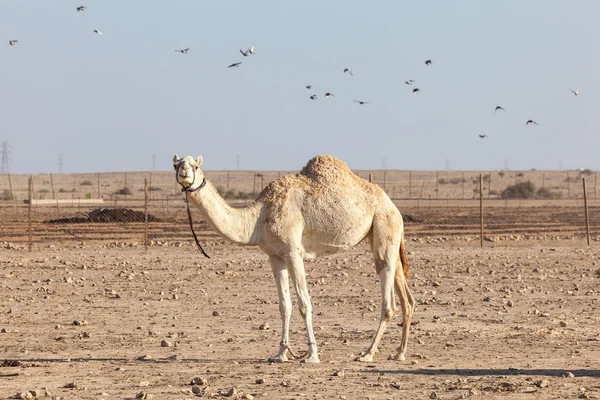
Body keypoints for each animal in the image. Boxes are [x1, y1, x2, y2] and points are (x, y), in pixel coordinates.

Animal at [173, 154, 414, 362]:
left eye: (196, 166)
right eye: (176, 164)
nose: (184, 171)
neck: (259, 217)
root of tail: (394, 207)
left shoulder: (292, 252)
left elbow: (304, 304)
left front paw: (312, 355)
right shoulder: (275, 257)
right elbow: (284, 305)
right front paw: (281, 353)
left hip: (384, 224)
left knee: (388, 300)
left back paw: (367, 353)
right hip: (383, 235)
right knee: (405, 295)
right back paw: (399, 353)